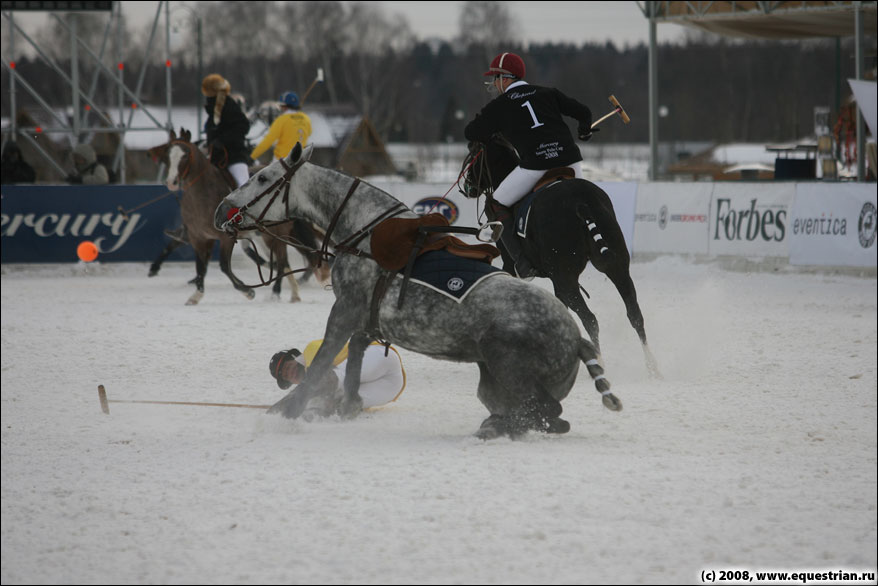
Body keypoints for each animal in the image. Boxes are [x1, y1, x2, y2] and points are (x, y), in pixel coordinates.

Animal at [214, 144, 624, 436]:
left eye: (263, 178)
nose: (222, 211)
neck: (363, 232)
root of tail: (577, 341)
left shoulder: (345, 308)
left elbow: (321, 364)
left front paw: (286, 411)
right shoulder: (366, 318)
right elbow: (355, 357)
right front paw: (347, 405)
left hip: (504, 356)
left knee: (551, 414)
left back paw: (493, 429)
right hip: (492, 384)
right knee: (540, 415)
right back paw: (495, 424)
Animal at [468, 137, 660, 374]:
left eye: (472, 154)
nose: (467, 186)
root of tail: (581, 203)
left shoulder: (511, 265)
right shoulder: (556, 281)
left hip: (567, 277)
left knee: (591, 319)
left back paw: (599, 363)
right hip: (616, 266)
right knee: (634, 313)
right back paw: (653, 368)